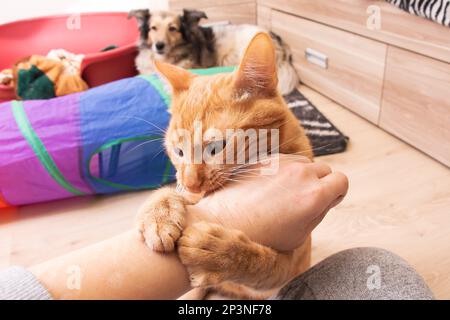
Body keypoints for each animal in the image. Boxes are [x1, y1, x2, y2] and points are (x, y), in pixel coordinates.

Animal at [135, 32, 312, 298]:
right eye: (178, 152)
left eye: (216, 148)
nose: (190, 183)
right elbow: (167, 193)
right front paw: (159, 214)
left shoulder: (286, 269)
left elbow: (262, 262)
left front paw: (219, 252)